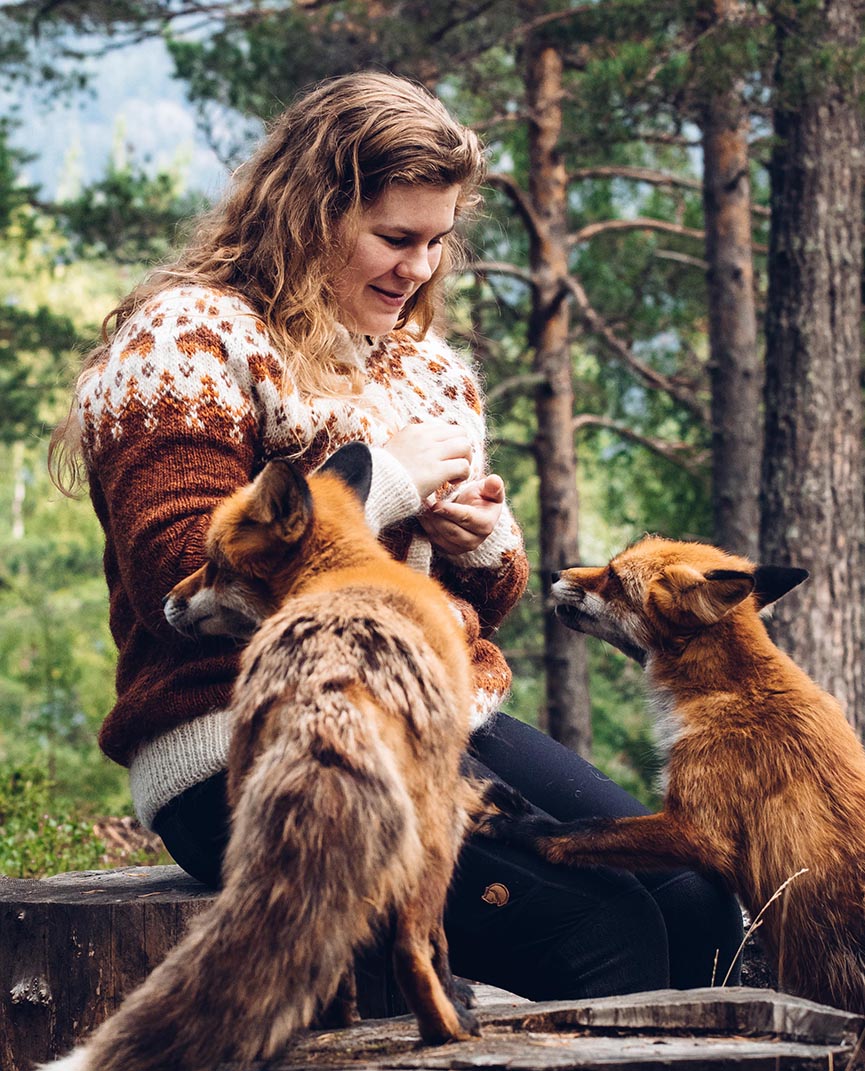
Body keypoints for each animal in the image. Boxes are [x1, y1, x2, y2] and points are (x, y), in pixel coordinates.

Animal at [40, 443, 496, 1071]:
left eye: (213, 565)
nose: (166, 601)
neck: (343, 571)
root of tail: (326, 690)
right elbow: (437, 945)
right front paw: (454, 996)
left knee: (327, 952)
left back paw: (335, 1022)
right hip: (431, 835)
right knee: (408, 949)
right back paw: (449, 1029)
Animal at [492, 533, 865, 1011]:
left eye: (613, 578)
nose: (555, 572)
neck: (725, 690)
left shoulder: (701, 830)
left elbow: (586, 828)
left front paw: (524, 824)